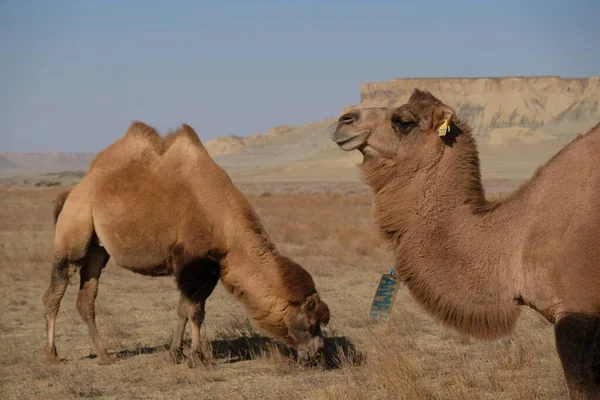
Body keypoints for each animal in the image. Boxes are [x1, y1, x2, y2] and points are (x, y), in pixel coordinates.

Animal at [44, 122, 330, 368]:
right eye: (310, 324)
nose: (317, 353)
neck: (226, 226)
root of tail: (71, 193)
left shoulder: (209, 268)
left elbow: (185, 309)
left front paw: (177, 354)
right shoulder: (194, 263)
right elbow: (195, 312)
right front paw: (195, 357)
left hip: (97, 249)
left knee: (86, 299)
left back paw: (104, 356)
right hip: (73, 234)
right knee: (55, 293)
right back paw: (52, 355)